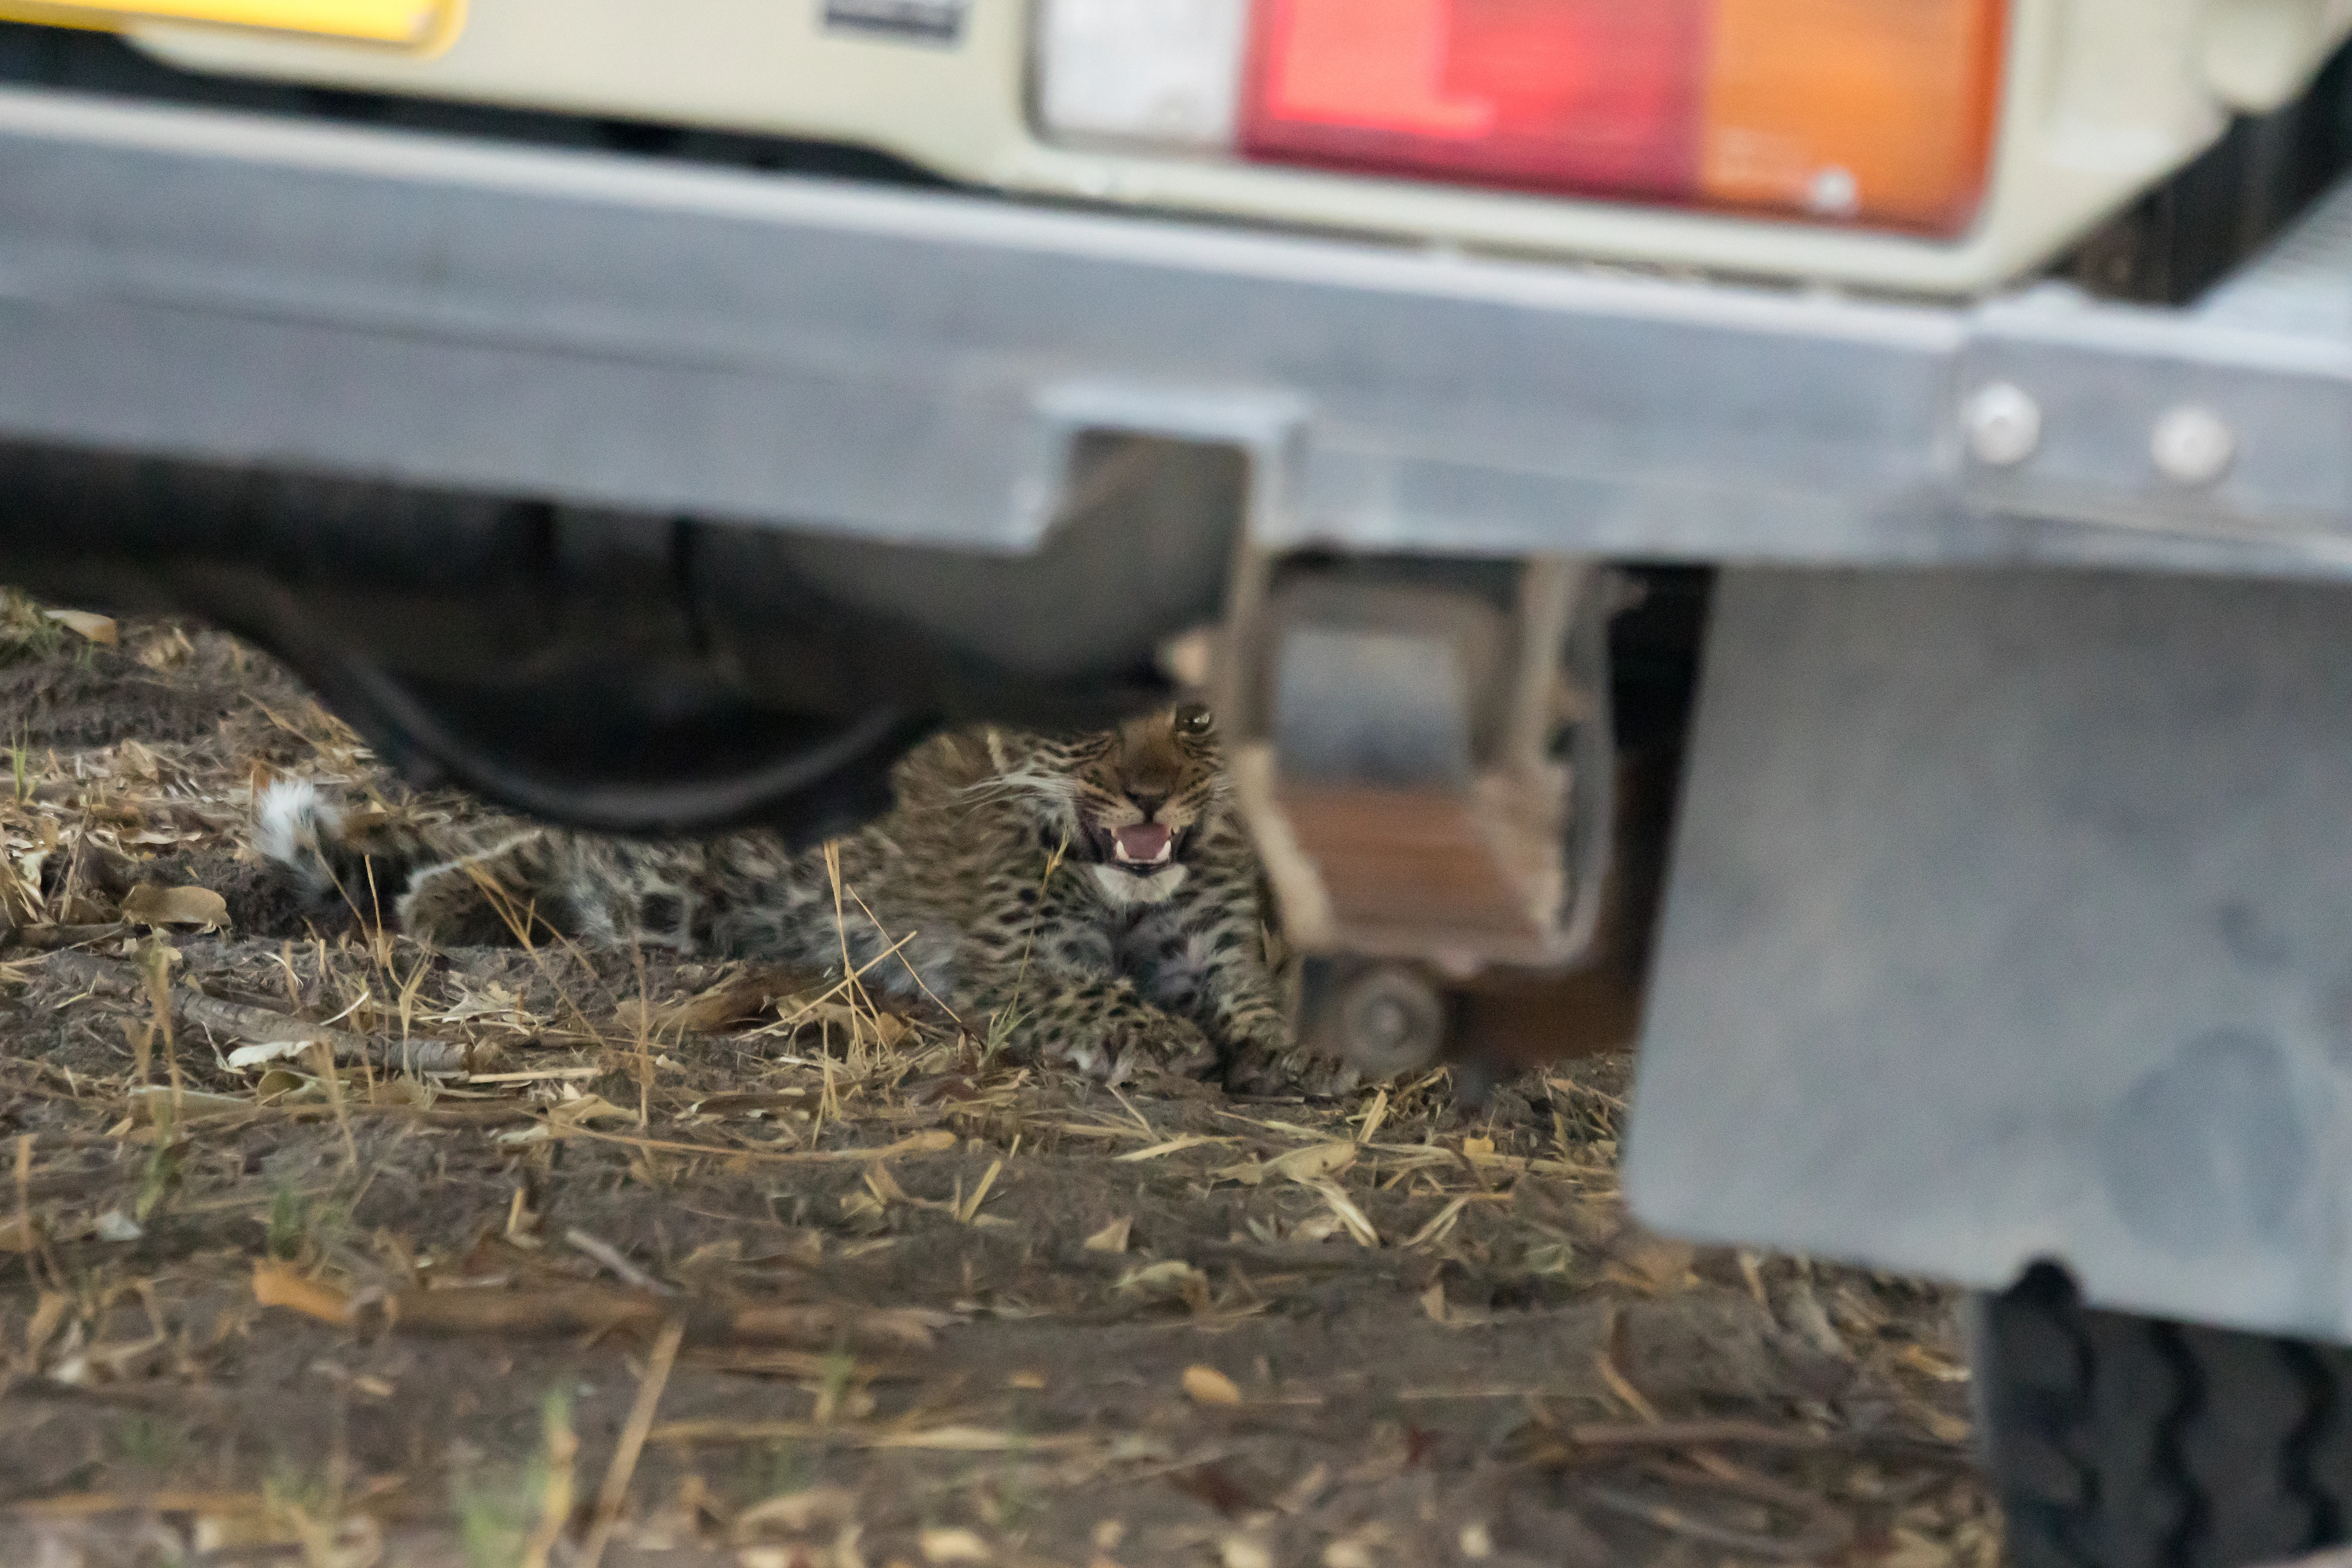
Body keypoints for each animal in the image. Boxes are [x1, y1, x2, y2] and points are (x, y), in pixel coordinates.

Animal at [254, 702, 1354, 1095]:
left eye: (1193, 722)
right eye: (1094, 729)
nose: (1150, 796)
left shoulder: (1213, 947)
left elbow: (1252, 996)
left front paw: (1301, 1047)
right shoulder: (1013, 966)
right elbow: (1091, 992)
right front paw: (1158, 1037)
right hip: (666, 891)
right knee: (559, 849)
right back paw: (442, 897)